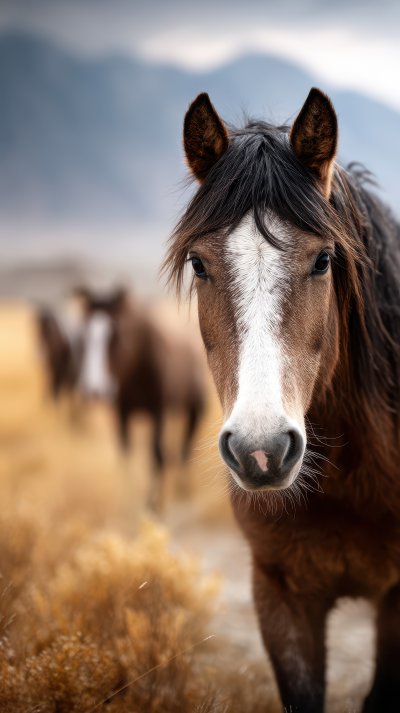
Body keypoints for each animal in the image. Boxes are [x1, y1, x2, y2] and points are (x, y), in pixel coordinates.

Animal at [76, 287, 206, 474]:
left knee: (184, 448)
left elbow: (157, 457)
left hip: (193, 409)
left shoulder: (160, 413)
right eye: (83, 336)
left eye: (116, 335)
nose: (95, 391)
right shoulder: (122, 413)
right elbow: (126, 456)